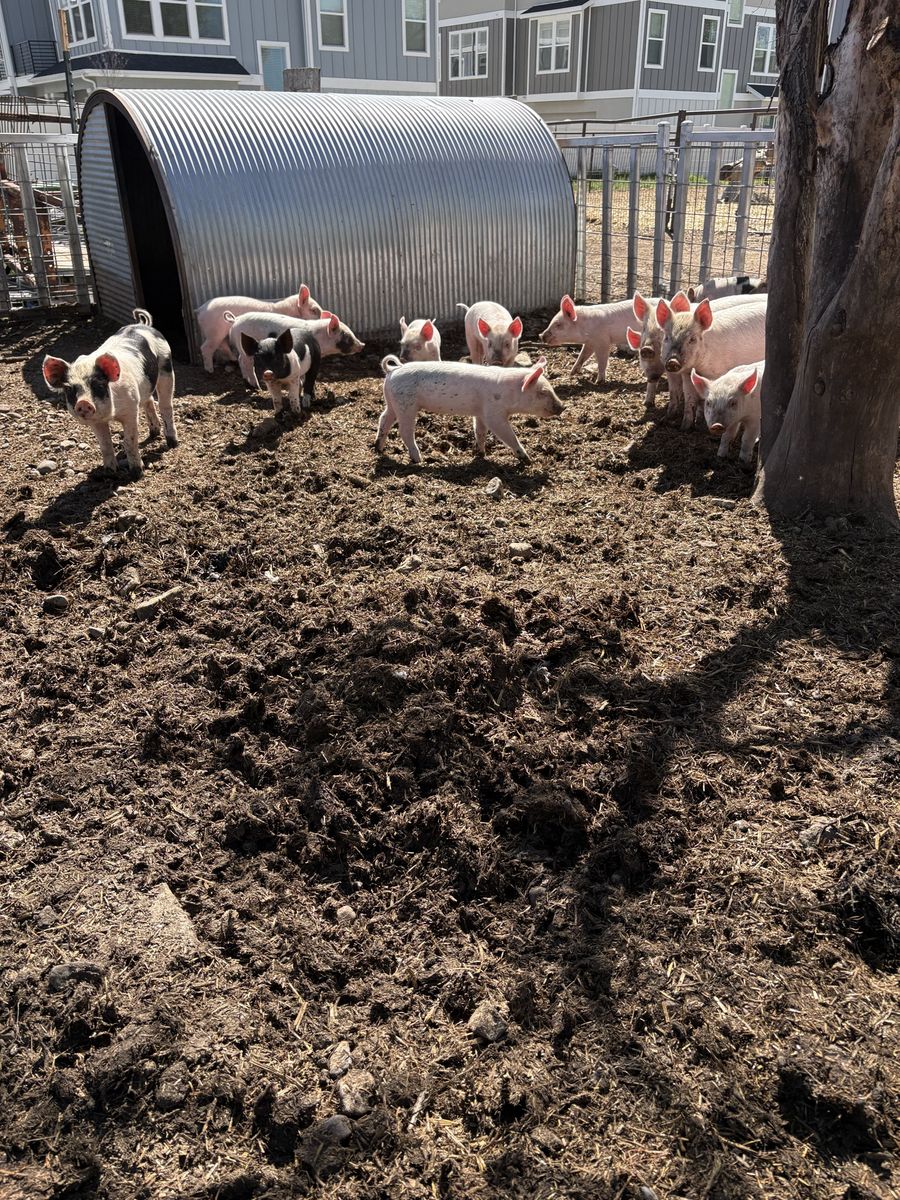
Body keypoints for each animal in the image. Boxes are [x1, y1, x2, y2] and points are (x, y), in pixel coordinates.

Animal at [42, 307, 177, 479]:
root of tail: (143, 325)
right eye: (69, 389)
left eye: (98, 384)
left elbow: (130, 441)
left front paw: (137, 473)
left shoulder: (131, 410)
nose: (83, 403)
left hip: (166, 368)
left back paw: (172, 443)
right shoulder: (96, 422)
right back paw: (153, 434)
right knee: (149, 401)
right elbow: (105, 445)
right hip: (146, 385)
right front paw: (109, 473)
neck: (111, 414)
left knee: (166, 406)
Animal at [225, 311, 364, 388]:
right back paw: (256, 386)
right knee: (246, 363)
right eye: (346, 336)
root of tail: (235, 319)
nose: (362, 345)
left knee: (240, 360)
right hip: (245, 348)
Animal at [377, 356, 563, 466]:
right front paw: (527, 459)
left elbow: (479, 431)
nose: (563, 406)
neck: (509, 393)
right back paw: (418, 459)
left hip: (392, 403)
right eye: (542, 392)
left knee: (383, 419)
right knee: (404, 431)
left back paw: (378, 447)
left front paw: (481, 453)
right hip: (406, 405)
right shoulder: (494, 412)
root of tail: (393, 370)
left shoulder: (480, 413)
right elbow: (506, 433)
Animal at [658, 296, 767, 431]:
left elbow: (703, 398)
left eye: (692, 339)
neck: (698, 366)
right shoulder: (687, 374)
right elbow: (689, 397)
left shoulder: (716, 373)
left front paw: (700, 425)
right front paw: (684, 427)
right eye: (667, 338)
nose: (672, 361)